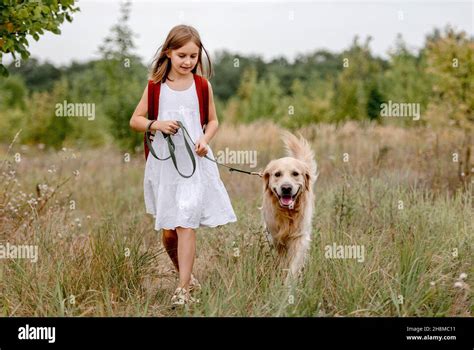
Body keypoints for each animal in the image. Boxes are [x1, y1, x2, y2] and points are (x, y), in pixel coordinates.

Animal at [262, 130, 316, 280]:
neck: (288, 213)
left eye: (295, 173)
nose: (286, 188)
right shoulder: (276, 237)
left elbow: (294, 265)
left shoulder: (300, 237)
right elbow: (282, 260)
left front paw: (289, 283)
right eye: (277, 174)